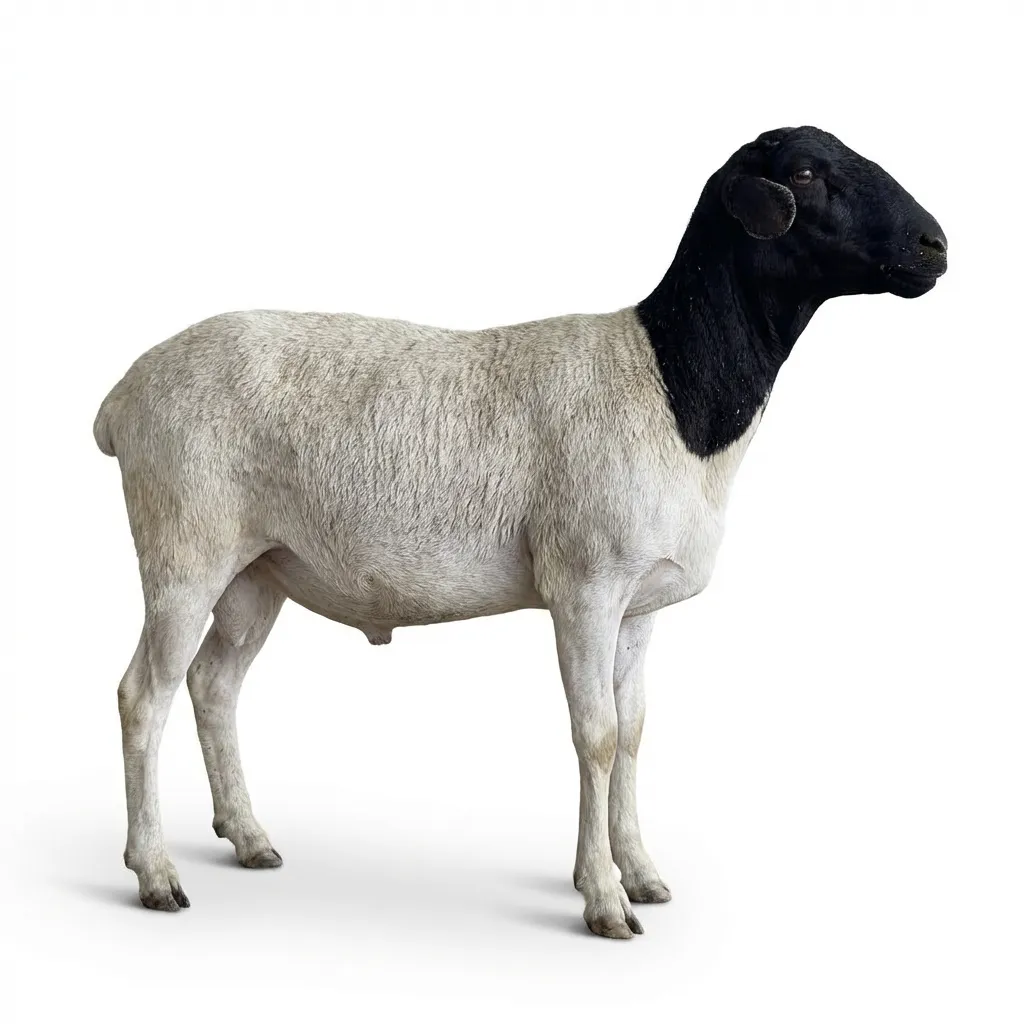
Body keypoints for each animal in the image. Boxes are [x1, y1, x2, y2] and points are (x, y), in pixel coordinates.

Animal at [94, 125, 946, 939]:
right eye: (804, 172)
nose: (935, 245)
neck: (670, 383)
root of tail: (122, 397)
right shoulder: (585, 587)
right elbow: (595, 734)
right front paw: (604, 901)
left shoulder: (639, 606)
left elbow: (633, 731)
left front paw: (642, 874)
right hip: (183, 549)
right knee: (144, 694)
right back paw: (156, 874)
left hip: (257, 570)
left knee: (214, 685)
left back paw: (248, 838)